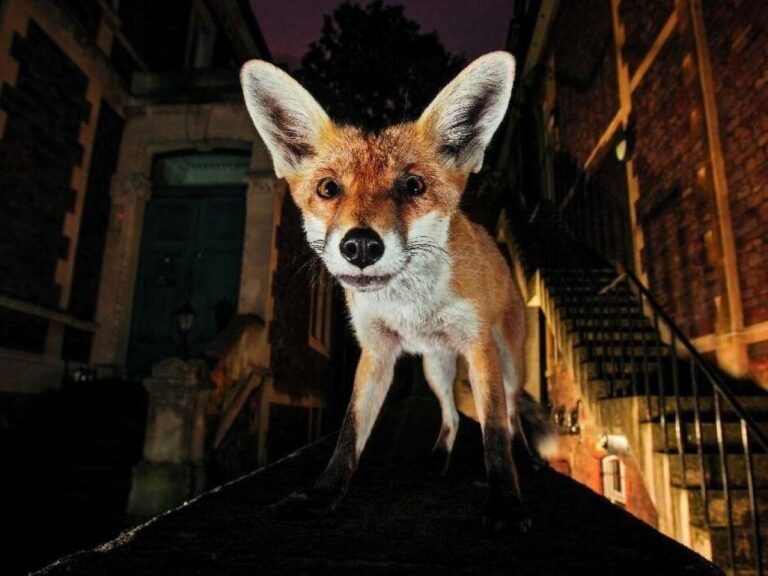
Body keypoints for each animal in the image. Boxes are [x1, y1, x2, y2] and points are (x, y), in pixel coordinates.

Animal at [241, 51, 548, 531]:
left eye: (413, 186)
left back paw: (527, 458)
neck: (411, 305)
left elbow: (495, 431)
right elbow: (350, 431)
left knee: (514, 413)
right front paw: (325, 491)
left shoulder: (478, 347)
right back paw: (440, 458)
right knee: (451, 415)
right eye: (328, 188)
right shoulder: (377, 351)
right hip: (435, 369)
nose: (361, 246)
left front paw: (505, 501)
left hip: (510, 363)